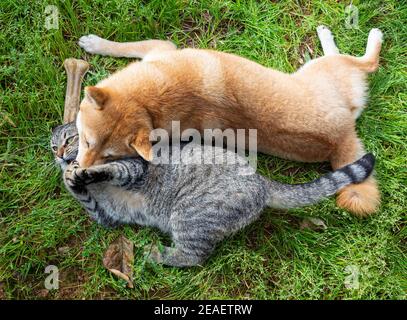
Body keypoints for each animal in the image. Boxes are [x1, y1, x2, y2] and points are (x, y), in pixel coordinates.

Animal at [51, 122, 376, 268]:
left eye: (70, 138)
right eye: (53, 145)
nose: (58, 154)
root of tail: (262, 181)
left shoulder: (133, 168)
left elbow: (109, 169)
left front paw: (82, 170)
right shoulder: (106, 216)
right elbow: (86, 198)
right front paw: (71, 178)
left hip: (189, 215)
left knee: (194, 256)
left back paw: (156, 253)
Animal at [75, 26, 384, 216]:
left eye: (108, 155)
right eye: (87, 142)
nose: (80, 171)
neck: (146, 103)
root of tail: (342, 136)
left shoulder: (161, 47)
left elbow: (126, 46)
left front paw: (96, 44)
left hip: (322, 68)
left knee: (368, 63)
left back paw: (355, 36)